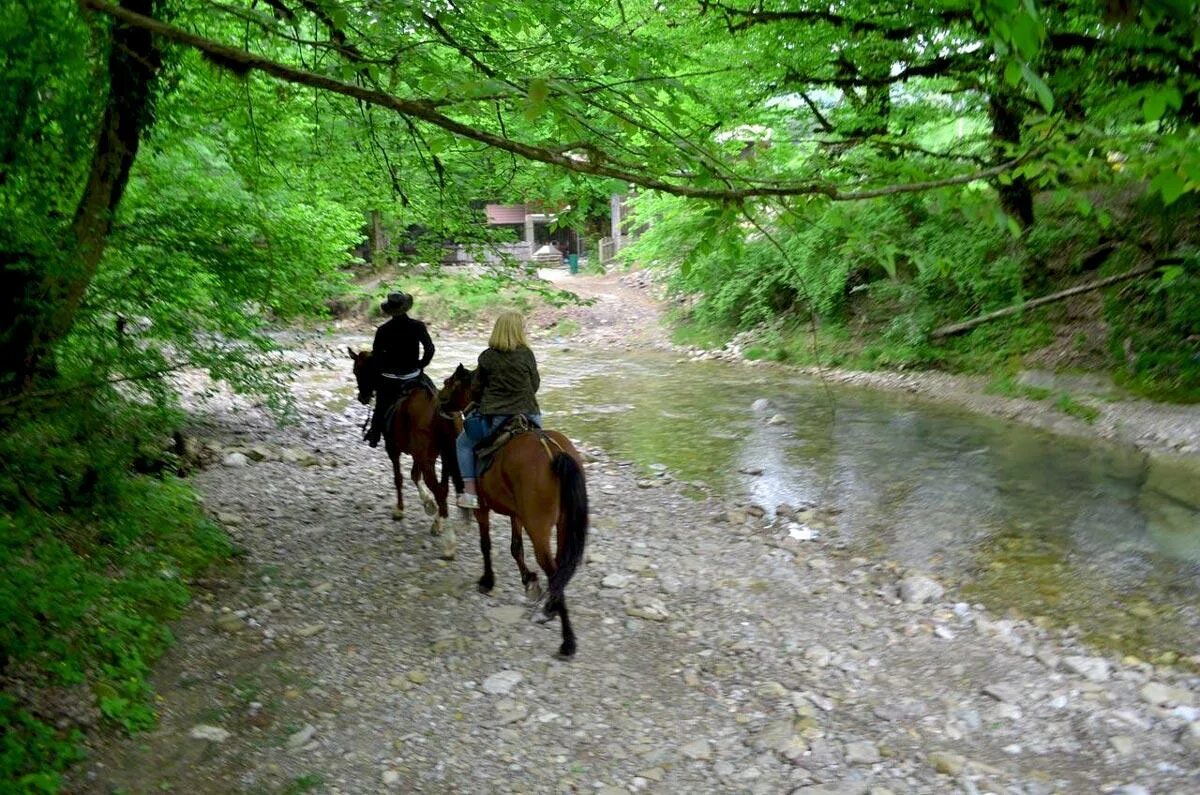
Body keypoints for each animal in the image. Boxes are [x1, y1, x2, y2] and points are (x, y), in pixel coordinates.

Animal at [350, 348, 460, 559]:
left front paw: (400, 510)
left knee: (440, 490)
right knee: (444, 489)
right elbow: (414, 476)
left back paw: (449, 544)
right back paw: (438, 524)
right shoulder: (420, 455)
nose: (362, 397)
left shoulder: (393, 449)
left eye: (357, 371)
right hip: (446, 457)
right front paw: (429, 505)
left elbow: (399, 478)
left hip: (428, 459)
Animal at [441, 367, 590, 658]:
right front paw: (529, 581)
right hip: (563, 524)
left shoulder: (483, 509)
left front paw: (487, 581)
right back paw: (550, 609)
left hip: (539, 527)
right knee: (560, 568)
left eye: (449, 382)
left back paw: (567, 640)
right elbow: (515, 547)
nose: (439, 401)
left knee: (553, 569)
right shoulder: (516, 514)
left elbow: (486, 544)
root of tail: (553, 452)